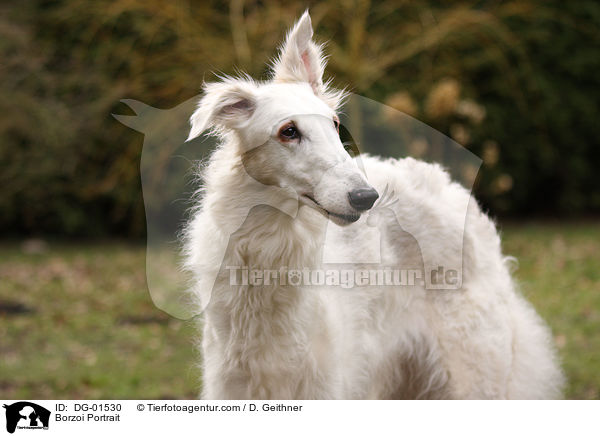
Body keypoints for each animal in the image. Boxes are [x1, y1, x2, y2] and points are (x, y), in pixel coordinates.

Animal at [185, 11, 564, 398]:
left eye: (335, 124)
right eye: (288, 131)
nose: (366, 198)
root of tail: (455, 190)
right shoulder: (231, 385)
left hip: (475, 372)